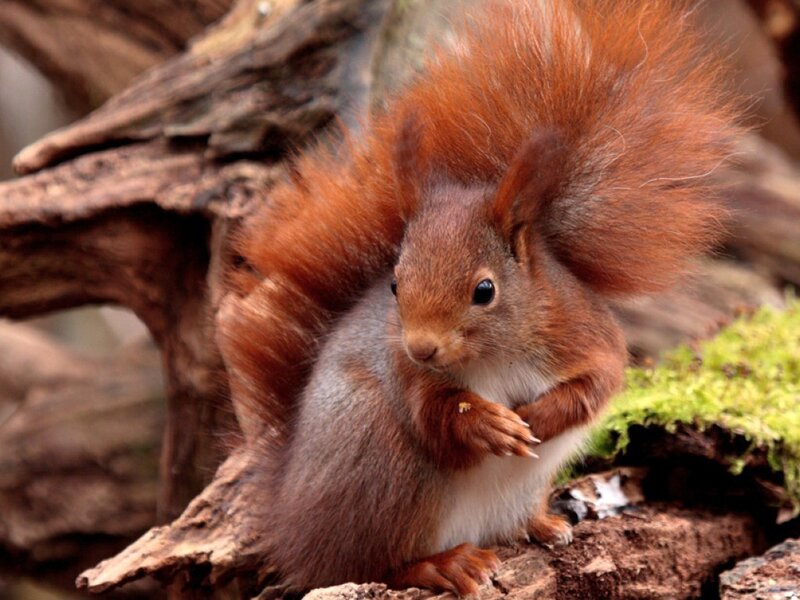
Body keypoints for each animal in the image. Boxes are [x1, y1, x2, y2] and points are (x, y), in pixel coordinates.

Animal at [219, 0, 740, 595]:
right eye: (394, 284)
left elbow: (598, 383)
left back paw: (543, 523)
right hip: (382, 460)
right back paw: (444, 563)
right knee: (374, 563)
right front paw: (488, 422)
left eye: (484, 290)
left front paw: (540, 417)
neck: (497, 353)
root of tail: (294, 529)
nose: (422, 347)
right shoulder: (408, 377)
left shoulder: (581, 331)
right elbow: (436, 418)